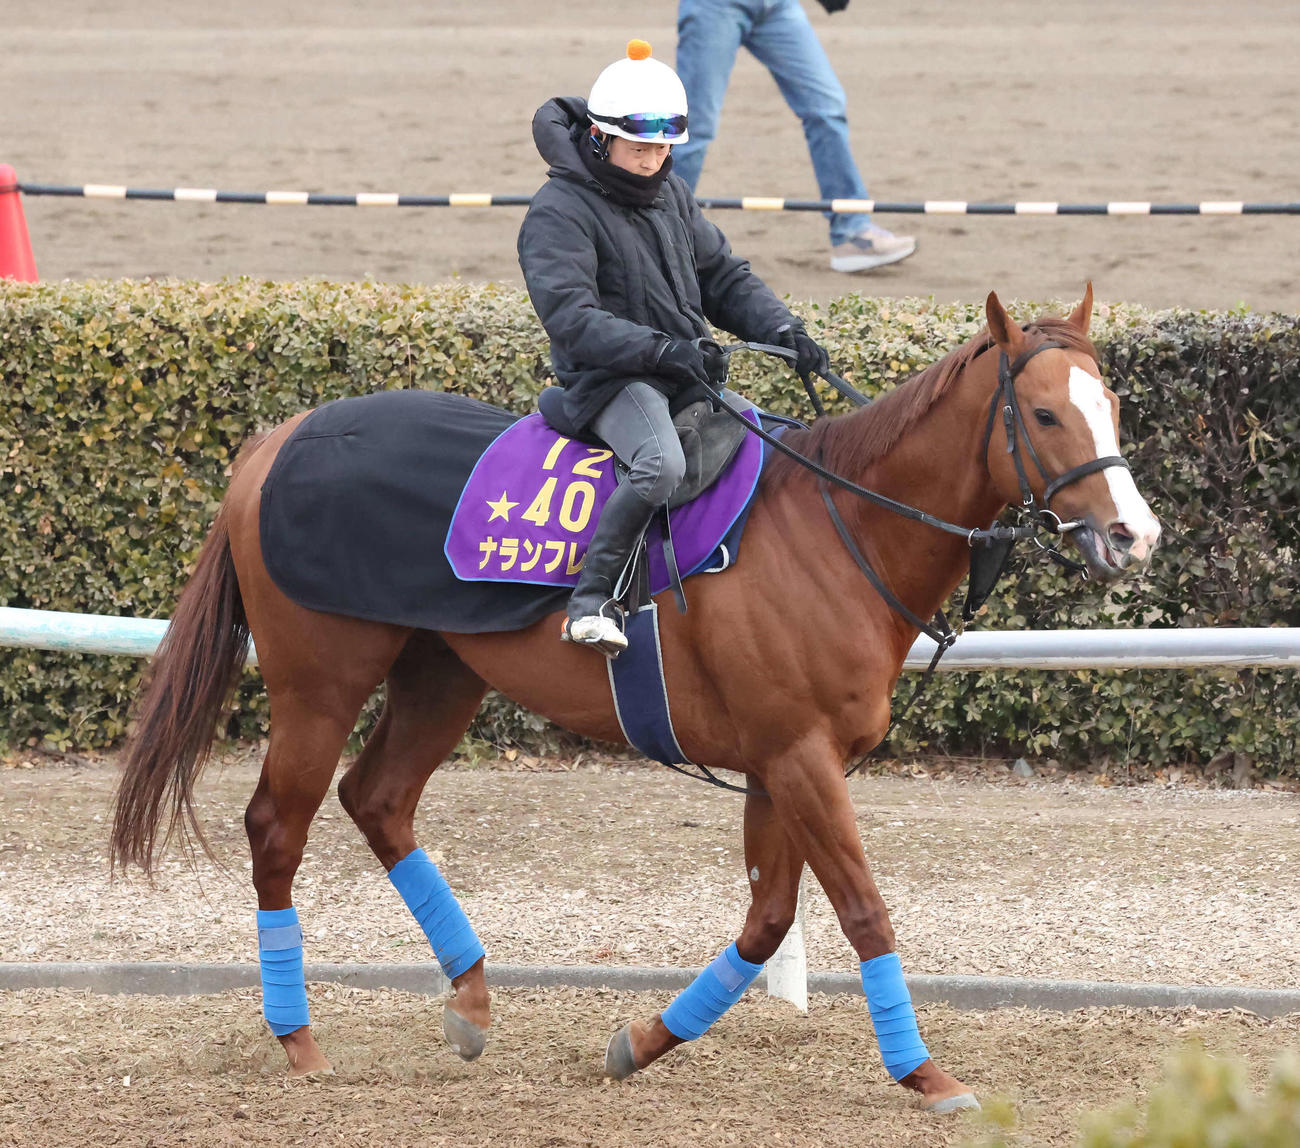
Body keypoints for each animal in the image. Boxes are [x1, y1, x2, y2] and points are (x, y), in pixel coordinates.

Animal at [110, 286, 1160, 1114]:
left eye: (1108, 403)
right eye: (1045, 414)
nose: (1135, 537)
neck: (837, 529)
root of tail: (275, 441)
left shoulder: (779, 765)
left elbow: (767, 919)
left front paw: (643, 1043)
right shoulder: (800, 758)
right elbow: (862, 909)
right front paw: (926, 1075)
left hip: (441, 673)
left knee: (379, 800)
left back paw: (471, 1000)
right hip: (319, 684)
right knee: (276, 830)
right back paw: (298, 1038)